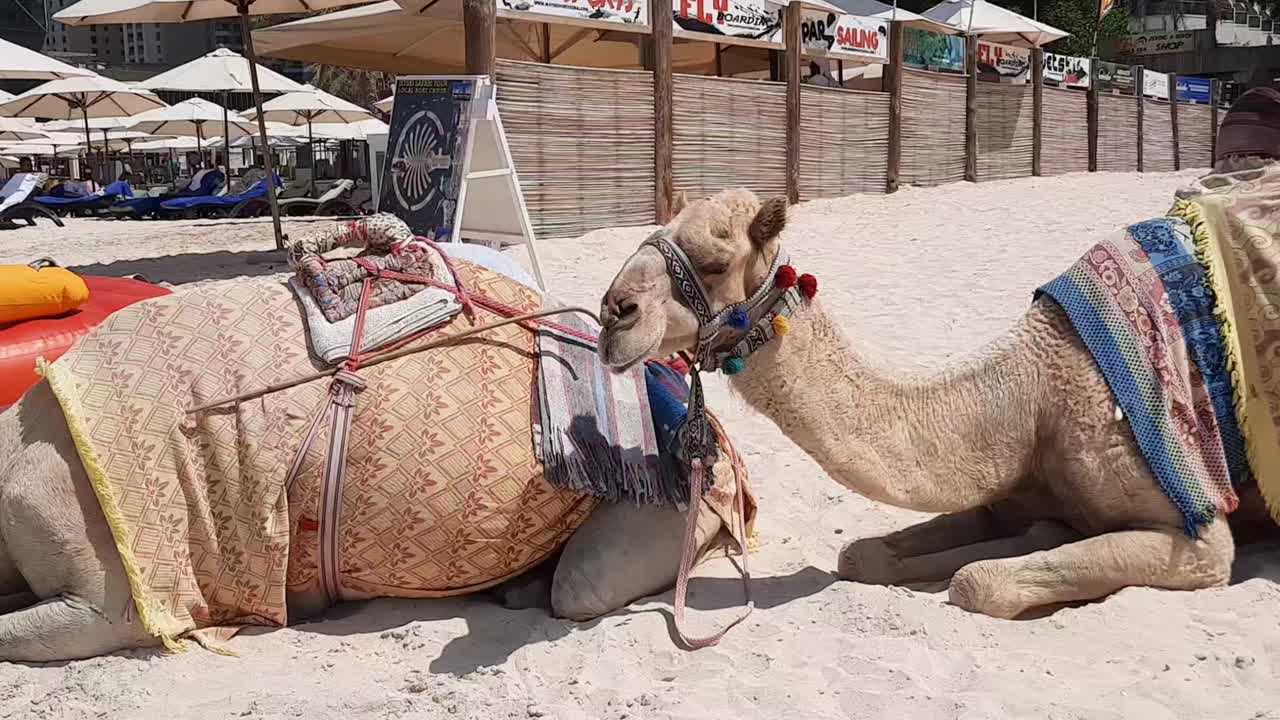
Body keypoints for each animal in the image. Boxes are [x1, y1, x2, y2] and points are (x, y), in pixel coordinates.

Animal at [597, 187, 1277, 619]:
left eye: (713, 262)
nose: (613, 312)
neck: (1031, 395)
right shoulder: (1002, 489)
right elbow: (861, 554)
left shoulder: (1200, 535)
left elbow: (975, 584)